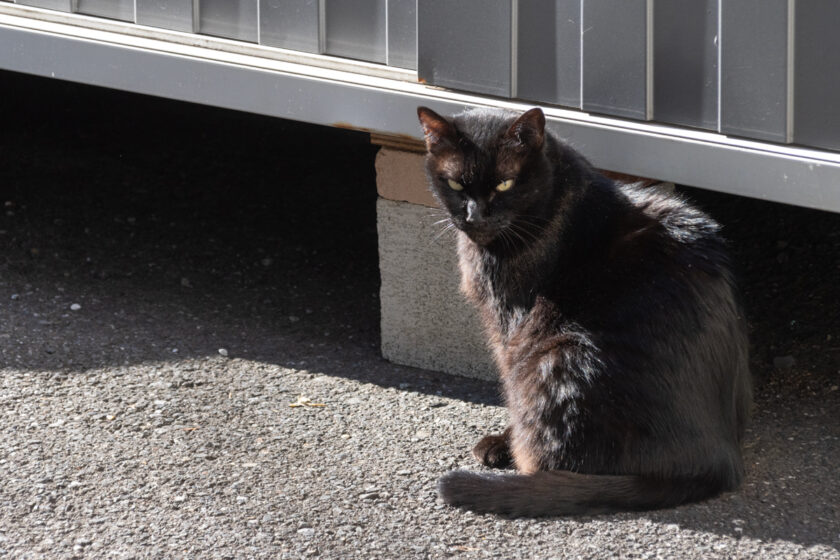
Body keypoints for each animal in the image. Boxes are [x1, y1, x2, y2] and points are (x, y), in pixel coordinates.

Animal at [416, 105, 752, 516]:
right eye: (456, 185)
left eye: (505, 185)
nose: (475, 217)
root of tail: (718, 462)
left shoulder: (509, 326)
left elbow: (509, 391)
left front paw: (501, 442)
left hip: (553, 356)